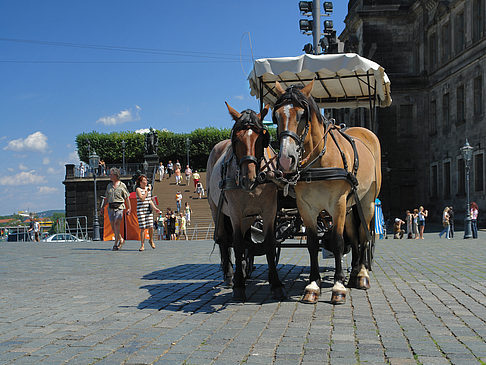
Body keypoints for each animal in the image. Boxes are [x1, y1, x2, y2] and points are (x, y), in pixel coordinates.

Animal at [206, 103, 284, 302]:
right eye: (236, 139)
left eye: (262, 138)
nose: (249, 178)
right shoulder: (234, 212)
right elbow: (238, 244)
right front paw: (239, 286)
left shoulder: (269, 210)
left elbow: (269, 243)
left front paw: (276, 284)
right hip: (216, 209)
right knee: (224, 240)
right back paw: (229, 276)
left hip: (247, 216)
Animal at [272, 80, 382, 304]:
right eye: (276, 116)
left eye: (301, 115)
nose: (286, 160)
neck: (319, 160)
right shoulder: (306, 208)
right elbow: (313, 244)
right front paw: (313, 285)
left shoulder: (337, 204)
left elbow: (338, 242)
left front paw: (338, 287)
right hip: (350, 207)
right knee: (355, 237)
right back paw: (355, 272)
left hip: (366, 202)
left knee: (364, 235)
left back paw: (362, 274)